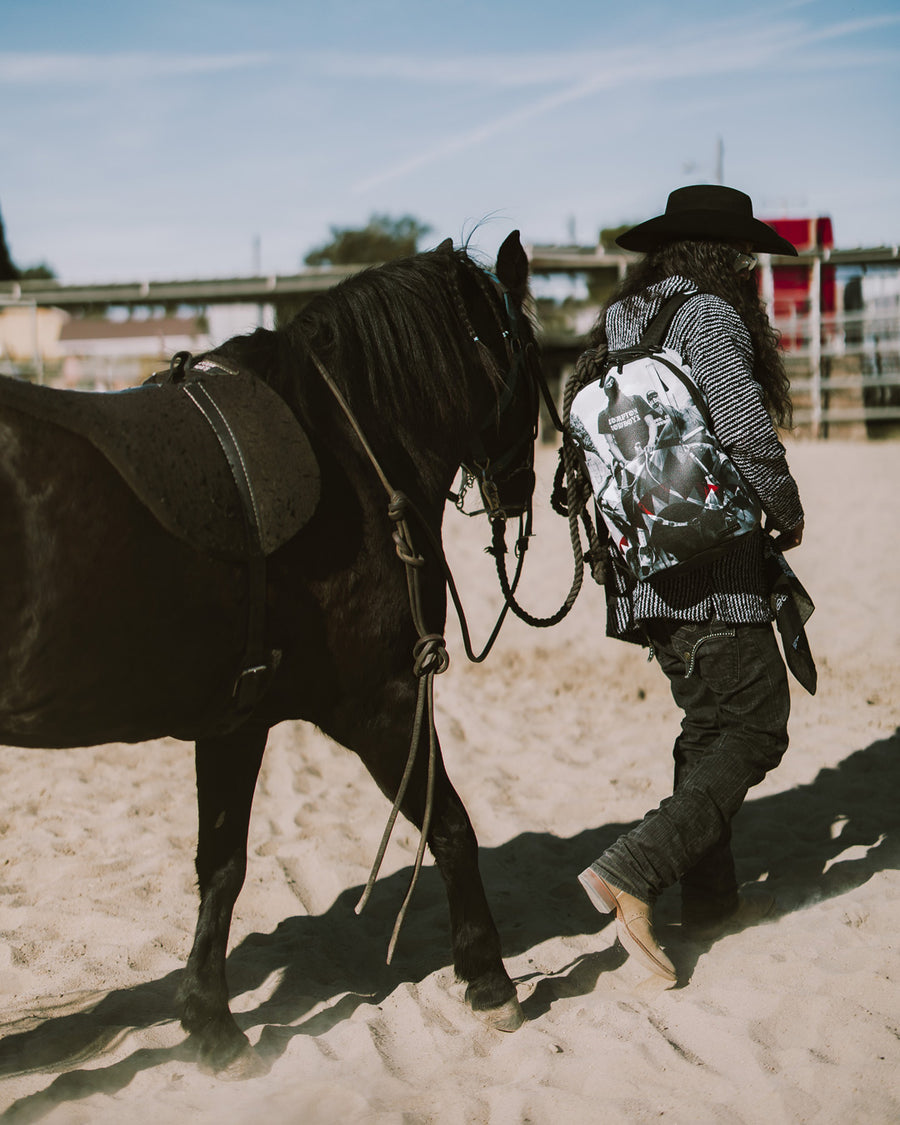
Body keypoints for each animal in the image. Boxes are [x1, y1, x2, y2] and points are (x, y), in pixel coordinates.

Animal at [0, 230, 542, 1071]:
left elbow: (220, 865)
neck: (347, 449)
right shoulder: (382, 704)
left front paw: (210, 1021)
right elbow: (450, 826)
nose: (527, 489)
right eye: (534, 354)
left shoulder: (235, 720)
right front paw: (487, 975)